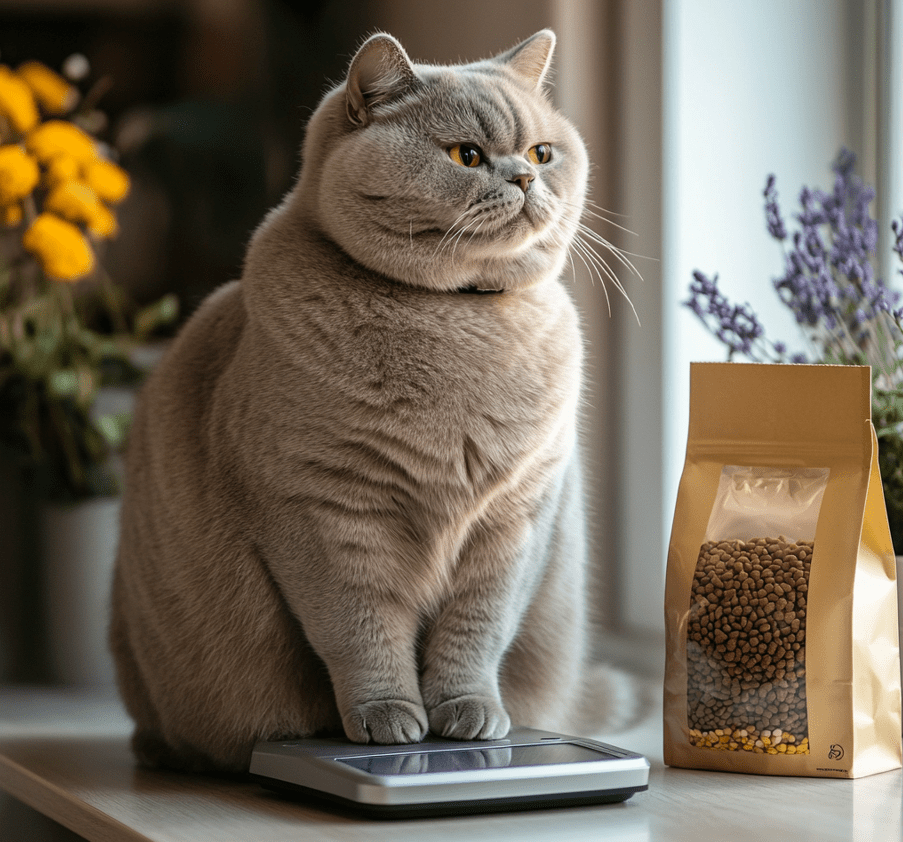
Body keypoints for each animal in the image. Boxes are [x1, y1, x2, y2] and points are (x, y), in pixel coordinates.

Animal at [109, 29, 616, 772]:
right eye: (467, 155)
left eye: (541, 153)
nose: (524, 178)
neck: (457, 323)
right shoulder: (326, 515)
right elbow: (362, 633)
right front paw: (389, 720)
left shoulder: (515, 522)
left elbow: (476, 632)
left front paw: (469, 716)